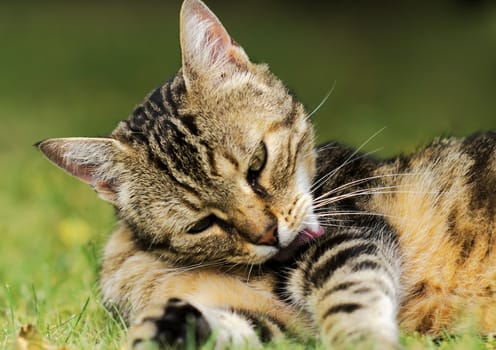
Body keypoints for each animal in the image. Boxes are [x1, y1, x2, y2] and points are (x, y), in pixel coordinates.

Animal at [36, 0, 496, 348]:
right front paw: (167, 329)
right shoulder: (288, 328)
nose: (268, 235)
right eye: (200, 223)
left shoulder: (347, 235)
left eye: (257, 165)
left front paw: (362, 339)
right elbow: (239, 325)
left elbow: (348, 297)